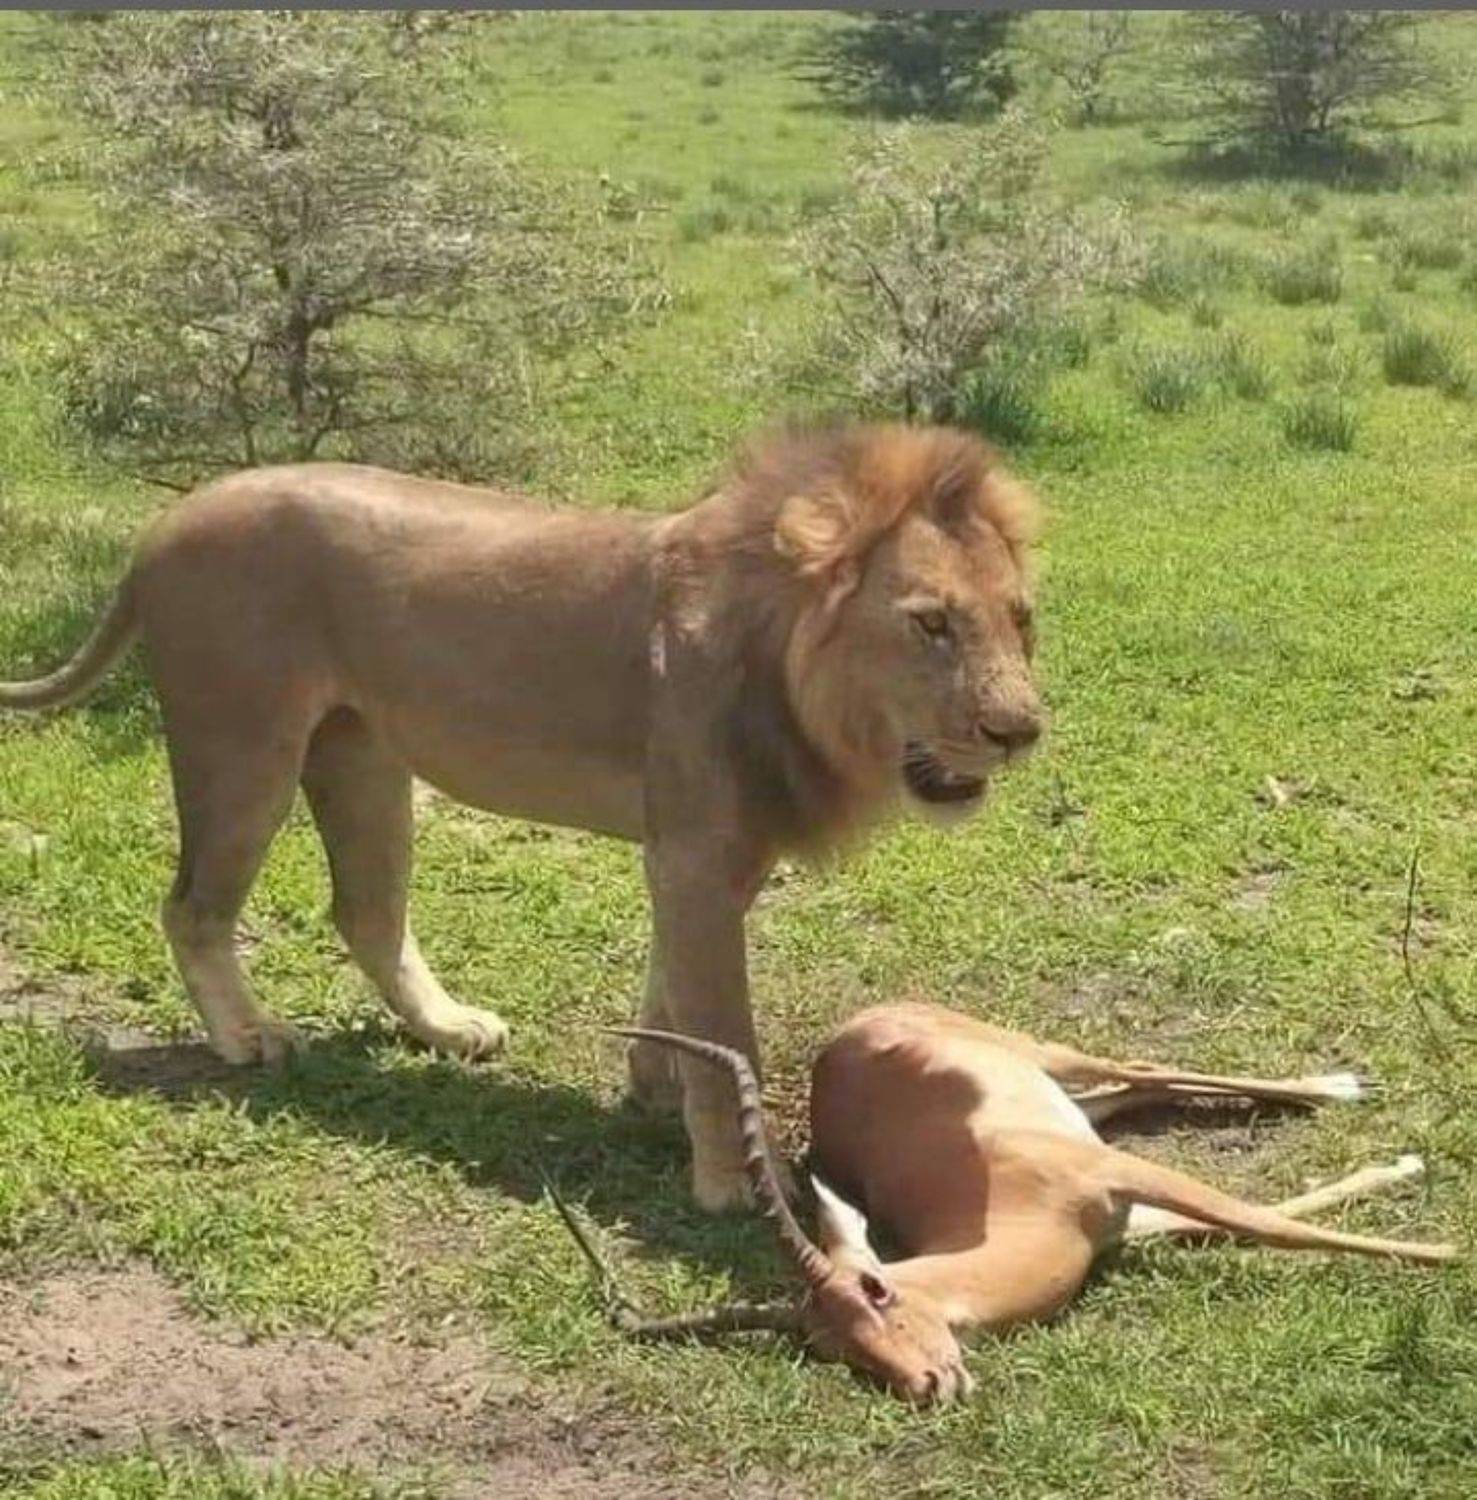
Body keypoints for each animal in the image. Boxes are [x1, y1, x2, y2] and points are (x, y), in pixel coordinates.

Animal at [1, 423, 1044, 1209]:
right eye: (929, 623)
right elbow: (727, 1036)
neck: (787, 671)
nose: (1020, 730)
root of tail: (162, 522)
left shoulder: (702, 861)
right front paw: (738, 1183)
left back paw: (450, 1028)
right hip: (241, 743)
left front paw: (651, 1090)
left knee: (367, 912)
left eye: (1020, 618)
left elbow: (674, 995)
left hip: (362, 756)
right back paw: (248, 1037)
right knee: (193, 908)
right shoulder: (697, 856)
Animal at [557, 1004, 1456, 1404]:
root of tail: (853, 1030)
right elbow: (1265, 1219)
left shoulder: (1123, 1177)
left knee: (1138, 1065)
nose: (925, 1384)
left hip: (1051, 1053)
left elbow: (1264, 1218)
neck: (1011, 1209)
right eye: (828, 1349)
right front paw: (1400, 1168)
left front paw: (1446, 1250)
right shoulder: (1125, 1222)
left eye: (876, 1290)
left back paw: (1340, 1089)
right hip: (1076, 1101)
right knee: (1137, 1088)